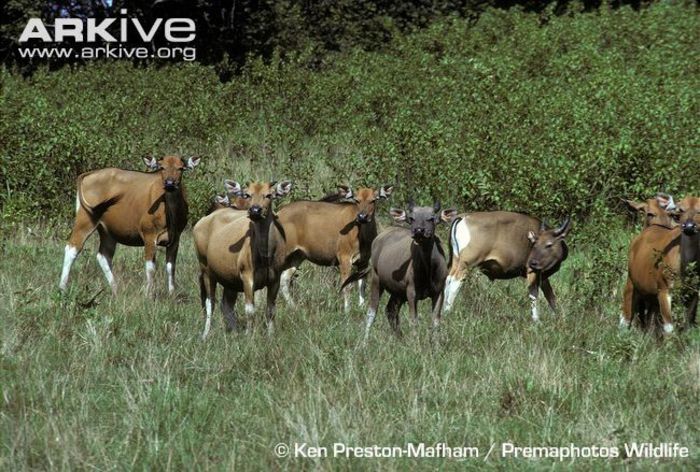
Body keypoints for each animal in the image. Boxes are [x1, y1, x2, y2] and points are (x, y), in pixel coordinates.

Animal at [57, 156, 200, 296]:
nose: (170, 184)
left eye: (180, 168)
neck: (169, 213)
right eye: (162, 168)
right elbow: (150, 268)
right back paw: (62, 288)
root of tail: (88, 174)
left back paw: (115, 289)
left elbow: (171, 267)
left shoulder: (175, 239)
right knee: (72, 249)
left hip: (107, 231)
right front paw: (149, 295)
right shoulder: (149, 236)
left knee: (103, 256)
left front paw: (171, 295)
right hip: (85, 220)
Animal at [191, 179, 292, 338]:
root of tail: (201, 222)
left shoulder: (275, 278)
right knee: (210, 302)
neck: (265, 256)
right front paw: (249, 336)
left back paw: (234, 331)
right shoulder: (247, 277)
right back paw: (205, 334)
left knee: (226, 305)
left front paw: (270, 336)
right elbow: (250, 310)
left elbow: (271, 310)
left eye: (269, 195)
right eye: (247, 194)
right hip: (206, 269)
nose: (255, 210)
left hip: (229, 279)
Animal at [348, 200, 456, 340]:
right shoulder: (411, 292)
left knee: (390, 310)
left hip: (397, 292)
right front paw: (416, 343)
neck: (428, 271)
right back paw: (364, 341)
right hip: (376, 280)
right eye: (412, 218)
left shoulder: (439, 292)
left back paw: (399, 338)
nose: (419, 231)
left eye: (432, 218)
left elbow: (435, 321)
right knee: (372, 312)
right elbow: (413, 321)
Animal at [442, 213, 576, 320]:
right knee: (455, 283)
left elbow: (551, 297)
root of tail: (464, 217)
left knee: (448, 279)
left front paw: (558, 318)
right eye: (535, 244)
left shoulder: (542, 276)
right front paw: (536, 320)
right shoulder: (533, 272)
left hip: (456, 261)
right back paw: (447, 312)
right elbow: (534, 294)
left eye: (549, 244)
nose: (532, 262)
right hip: (466, 264)